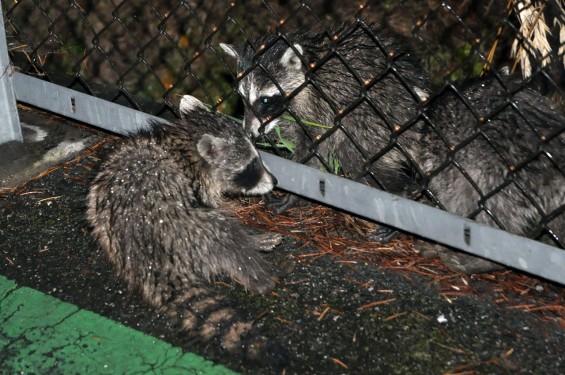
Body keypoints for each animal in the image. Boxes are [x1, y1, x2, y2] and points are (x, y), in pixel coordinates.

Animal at [85, 95, 282, 356]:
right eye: (250, 166)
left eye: (257, 159)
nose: (275, 181)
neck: (184, 140)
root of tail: (146, 256)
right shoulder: (196, 184)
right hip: (184, 227)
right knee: (223, 232)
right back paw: (254, 262)